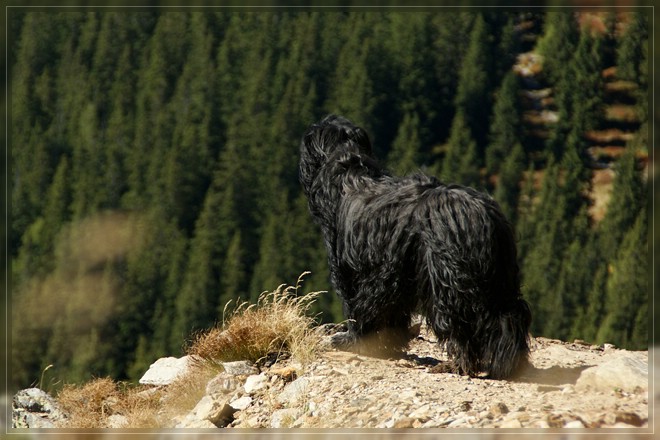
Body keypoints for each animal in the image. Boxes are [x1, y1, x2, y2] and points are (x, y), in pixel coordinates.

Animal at [300, 115, 532, 380]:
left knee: (460, 324)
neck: (349, 167)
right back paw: (509, 363)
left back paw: (457, 365)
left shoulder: (353, 270)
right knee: (510, 315)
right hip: (499, 276)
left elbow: (358, 308)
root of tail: (482, 214)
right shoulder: (391, 275)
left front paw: (352, 340)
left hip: (449, 281)